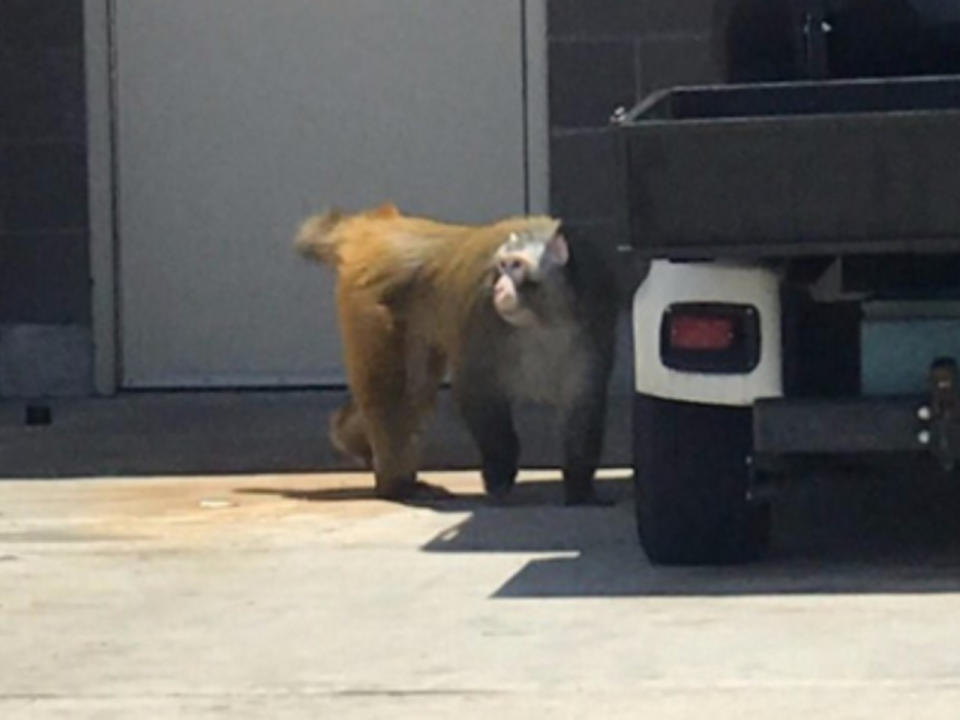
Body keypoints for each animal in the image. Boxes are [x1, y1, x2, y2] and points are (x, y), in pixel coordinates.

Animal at [296, 202, 620, 504]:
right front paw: (499, 472)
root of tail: (378, 228)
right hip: (370, 304)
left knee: (413, 390)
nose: (500, 288)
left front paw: (580, 487)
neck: (543, 317)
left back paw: (355, 443)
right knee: (393, 394)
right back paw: (396, 486)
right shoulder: (482, 313)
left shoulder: (596, 312)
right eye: (501, 267)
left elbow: (584, 401)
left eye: (516, 265)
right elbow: (476, 390)